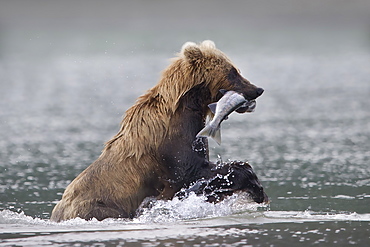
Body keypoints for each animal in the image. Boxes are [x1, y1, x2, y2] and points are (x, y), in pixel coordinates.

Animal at [51, 40, 266, 222]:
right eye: (232, 71)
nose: (258, 89)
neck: (188, 108)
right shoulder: (171, 147)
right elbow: (192, 171)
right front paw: (254, 185)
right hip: (99, 207)